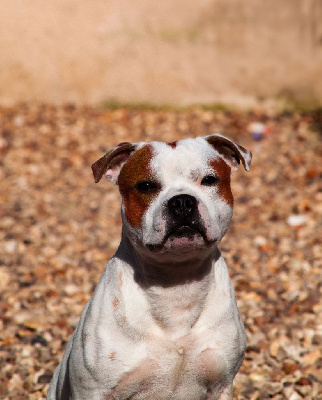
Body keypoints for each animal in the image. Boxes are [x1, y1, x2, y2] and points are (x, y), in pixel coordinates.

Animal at [47, 134, 252, 400]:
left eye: (209, 180)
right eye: (145, 186)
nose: (182, 201)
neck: (176, 282)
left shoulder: (221, 385)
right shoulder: (94, 391)